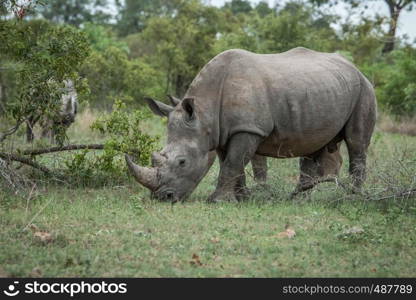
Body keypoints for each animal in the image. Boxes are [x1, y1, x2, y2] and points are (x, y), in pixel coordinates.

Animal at [127, 48, 376, 203]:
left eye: (182, 162)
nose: (163, 198)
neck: (204, 113)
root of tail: (355, 67)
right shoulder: (222, 133)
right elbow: (232, 164)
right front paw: (242, 199)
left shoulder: (248, 128)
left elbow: (232, 163)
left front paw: (217, 201)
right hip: (322, 91)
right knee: (312, 146)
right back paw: (298, 199)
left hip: (364, 89)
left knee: (356, 143)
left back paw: (351, 197)